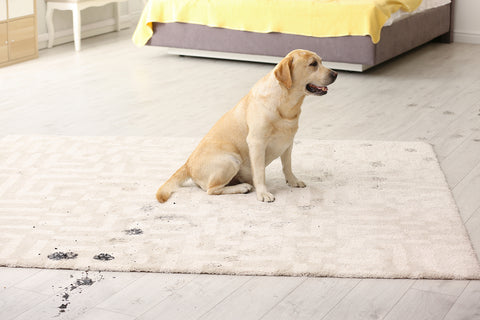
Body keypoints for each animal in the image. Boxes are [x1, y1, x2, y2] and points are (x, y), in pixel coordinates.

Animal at [156, 48, 336, 202]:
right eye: (313, 64)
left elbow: (287, 166)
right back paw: (242, 187)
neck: (285, 104)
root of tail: (187, 164)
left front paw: (293, 181)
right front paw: (263, 193)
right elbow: (260, 173)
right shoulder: (257, 143)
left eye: (321, 61)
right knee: (212, 189)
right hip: (231, 159)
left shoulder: (288, 143)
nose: (335, 73)